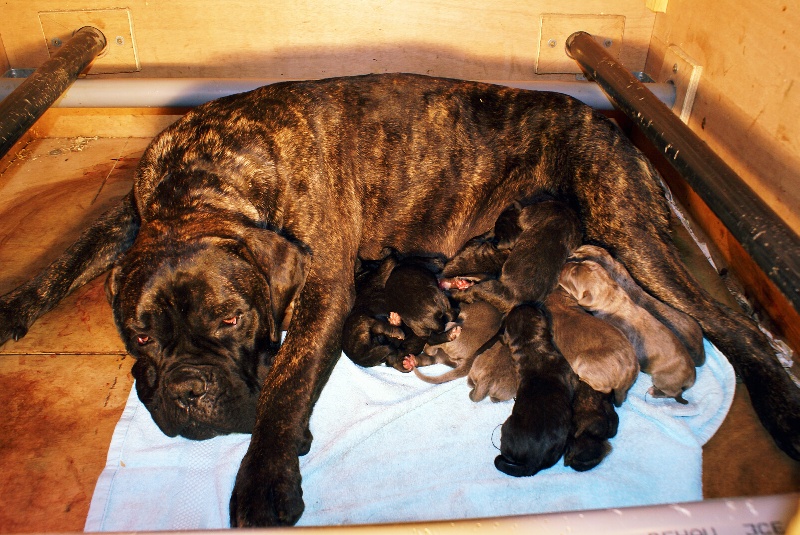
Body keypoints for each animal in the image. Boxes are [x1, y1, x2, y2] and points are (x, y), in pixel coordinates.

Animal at [560, 262, 696, 404]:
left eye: (573, 274)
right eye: (580, 264)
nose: (565, 264)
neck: (612, 297)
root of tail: (691, 377)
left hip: (663, 379)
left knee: (674, 392)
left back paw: (654, 391)